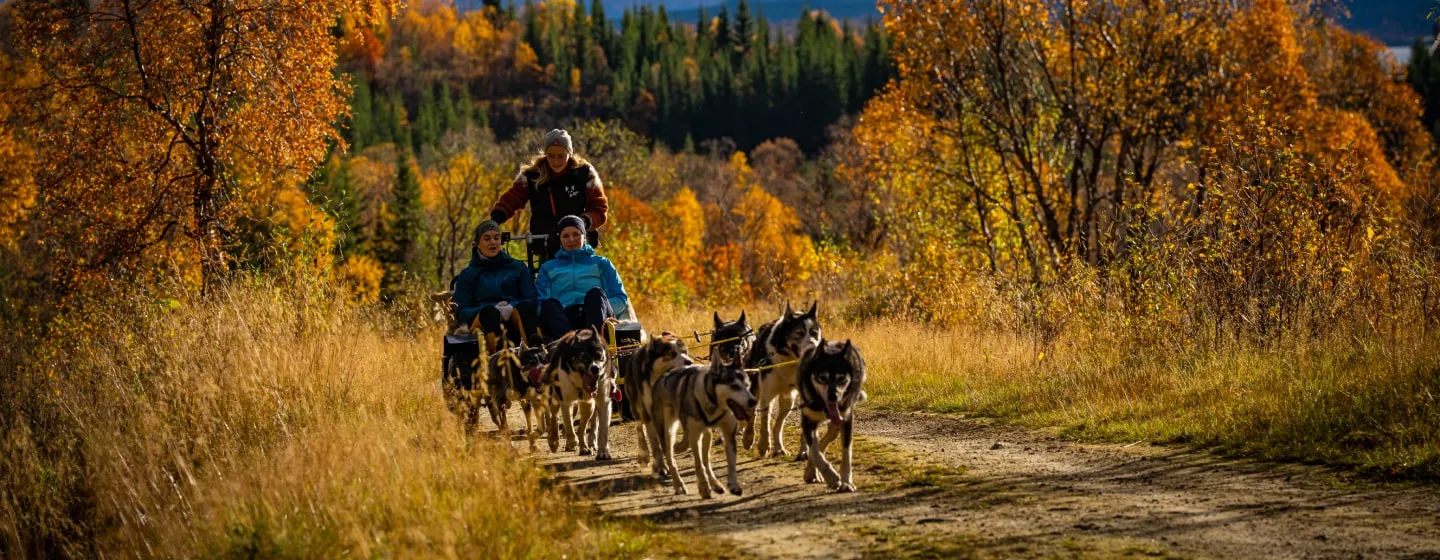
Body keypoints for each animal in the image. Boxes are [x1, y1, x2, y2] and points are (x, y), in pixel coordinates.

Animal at [535, 325, 613, 454]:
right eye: (583, 357)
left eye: (599, 355)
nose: (595, 368)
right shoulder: (565, 402)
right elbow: (569, 424)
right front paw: (572, 442)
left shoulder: (590, 402)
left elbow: (582, 427)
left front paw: (584, 446)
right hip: (554, 399)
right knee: (554, 418)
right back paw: (554, 440)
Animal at [624, 329, 691, 472]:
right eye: (671, 354)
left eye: (685, 351)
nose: (689, 361)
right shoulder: (649, 412)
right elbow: (655, 443)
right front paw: (660, 466)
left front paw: (678, 449)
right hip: (636, 406)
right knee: (639, 428)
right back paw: (644, 455)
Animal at [653, 362, 760, 498]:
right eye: (734, 386)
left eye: (747, 385)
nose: (753, 401)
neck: (713, 402)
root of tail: (662, 377)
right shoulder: (694, 435)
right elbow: (698, 464)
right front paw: (703, 487)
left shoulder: (728, 434)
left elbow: (730, 464)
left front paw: (733, 485)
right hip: (667, 433)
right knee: (671, 459)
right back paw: (679, 485)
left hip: (706, 435)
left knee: (706, 461)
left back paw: (715, 483)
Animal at [743, 300, 823, 457]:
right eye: (799, 333)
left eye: (814, 333)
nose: (814, 347)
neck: (789, 360)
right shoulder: (767, 394)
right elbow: (764, 422)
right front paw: (763, 444)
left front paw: (804, 450)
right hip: (756, 389)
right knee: (752, 413)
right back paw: (748, 437)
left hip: (788, 400)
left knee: (778, 425)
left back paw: (779, 447)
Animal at [800, 335, 864, 489]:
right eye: (822, 378)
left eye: (841, 378)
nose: (833, 396)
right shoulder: (808, 420)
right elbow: (815, 451)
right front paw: (831, 477)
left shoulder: (847, 419)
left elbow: (846, 454)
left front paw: (846, 482)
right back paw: (811, 471)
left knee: (831, 433)